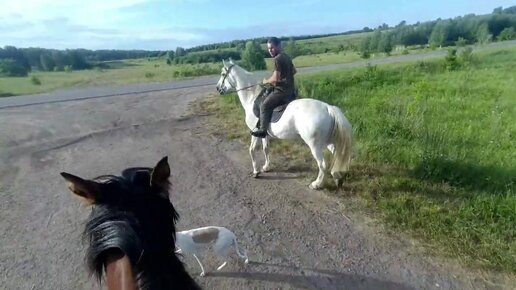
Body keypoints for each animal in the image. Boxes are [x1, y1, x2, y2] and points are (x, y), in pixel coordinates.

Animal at [214, 59, 350, 190]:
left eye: (222, 74)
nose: (217, 88)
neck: (252, 98)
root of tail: (328, 108)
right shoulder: (264, 134)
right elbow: (266, 148)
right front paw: (266, 167)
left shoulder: (254, 132)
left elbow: (251, 150)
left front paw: (256, 171)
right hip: (329, 141)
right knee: (337, 155)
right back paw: (337, 177)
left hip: (315, 144)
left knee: (322, 164)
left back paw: (317, 184)